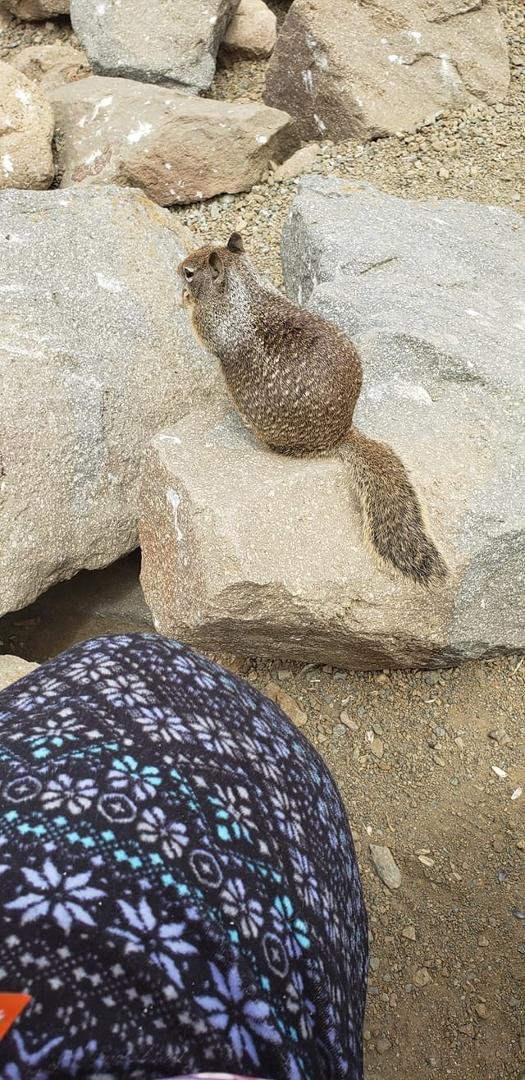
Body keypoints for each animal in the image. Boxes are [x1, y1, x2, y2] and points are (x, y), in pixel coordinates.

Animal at [179, 231, 447, 586]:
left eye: (189, 273)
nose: (177, 270)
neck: (244, 288)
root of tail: (341, 434)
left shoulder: (212, 323)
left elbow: (201, 332)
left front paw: (185, 301)